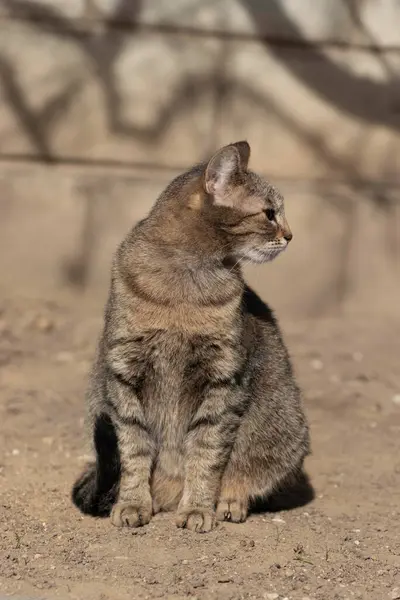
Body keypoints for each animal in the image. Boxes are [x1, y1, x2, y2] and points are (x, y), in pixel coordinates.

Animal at [71, 142, 310, 536]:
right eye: (269, 213)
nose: (291, 236)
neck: (185, 283)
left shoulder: (224, 380)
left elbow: (205, 452)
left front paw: (198, 507)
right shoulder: (124, 373)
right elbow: (133, 449)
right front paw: (133, 503)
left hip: (286, 430)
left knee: (245, 476)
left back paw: (229, 502)